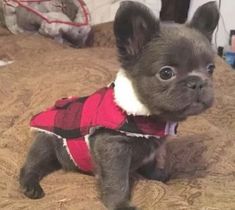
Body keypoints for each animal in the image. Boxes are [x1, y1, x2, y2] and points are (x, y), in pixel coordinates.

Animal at [19, 1, 219, 210]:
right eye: (166, 73)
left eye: (211, 69)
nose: (198, 82)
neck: (147, 116)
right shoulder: (114, 148)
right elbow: (117, 180)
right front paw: (120, 204)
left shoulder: (151, 147)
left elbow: (150, 162)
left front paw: (156, 175)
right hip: (46, 143)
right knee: (32, 165)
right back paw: (30, 186)